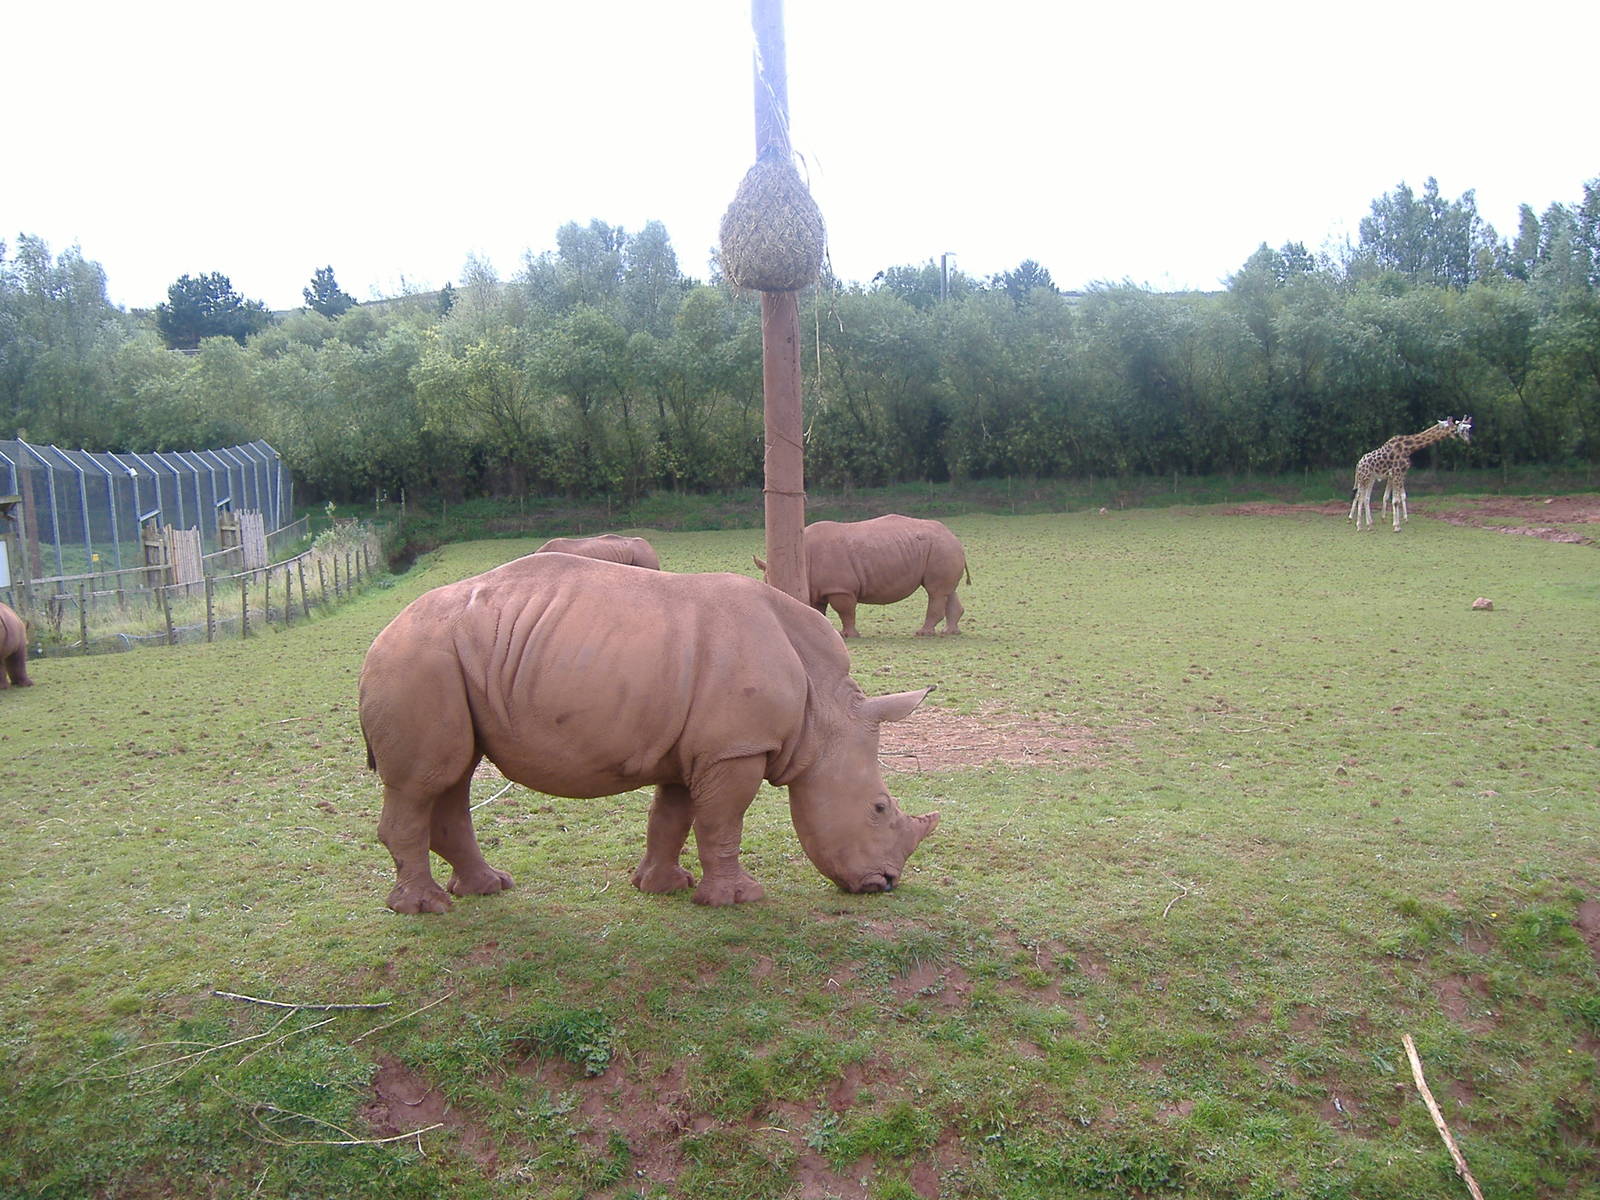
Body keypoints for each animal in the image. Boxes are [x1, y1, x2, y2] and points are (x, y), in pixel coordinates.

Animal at [358, 553, 939, 913]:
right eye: (879, 808)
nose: (886, 883)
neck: (824, 712)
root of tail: (380, 637)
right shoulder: (734, 749)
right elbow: (723, 822)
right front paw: (739, 899)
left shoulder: (697, 751)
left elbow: (673, 816)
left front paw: (663, 888)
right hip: (417, 660)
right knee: (423, 783)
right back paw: (426, 909)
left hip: (441, 662)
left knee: (450, 777)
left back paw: (488, 889)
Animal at [756, 514, 969, 638]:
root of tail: (954, 536)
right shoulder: (819, 588)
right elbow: (817, 610)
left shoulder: (840, 588)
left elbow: (846, 611)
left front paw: (848, 635)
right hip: (942, 548)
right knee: (947, 591)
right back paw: (950, 632)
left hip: (941, 547)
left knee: (935, 591)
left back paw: (923, 633)